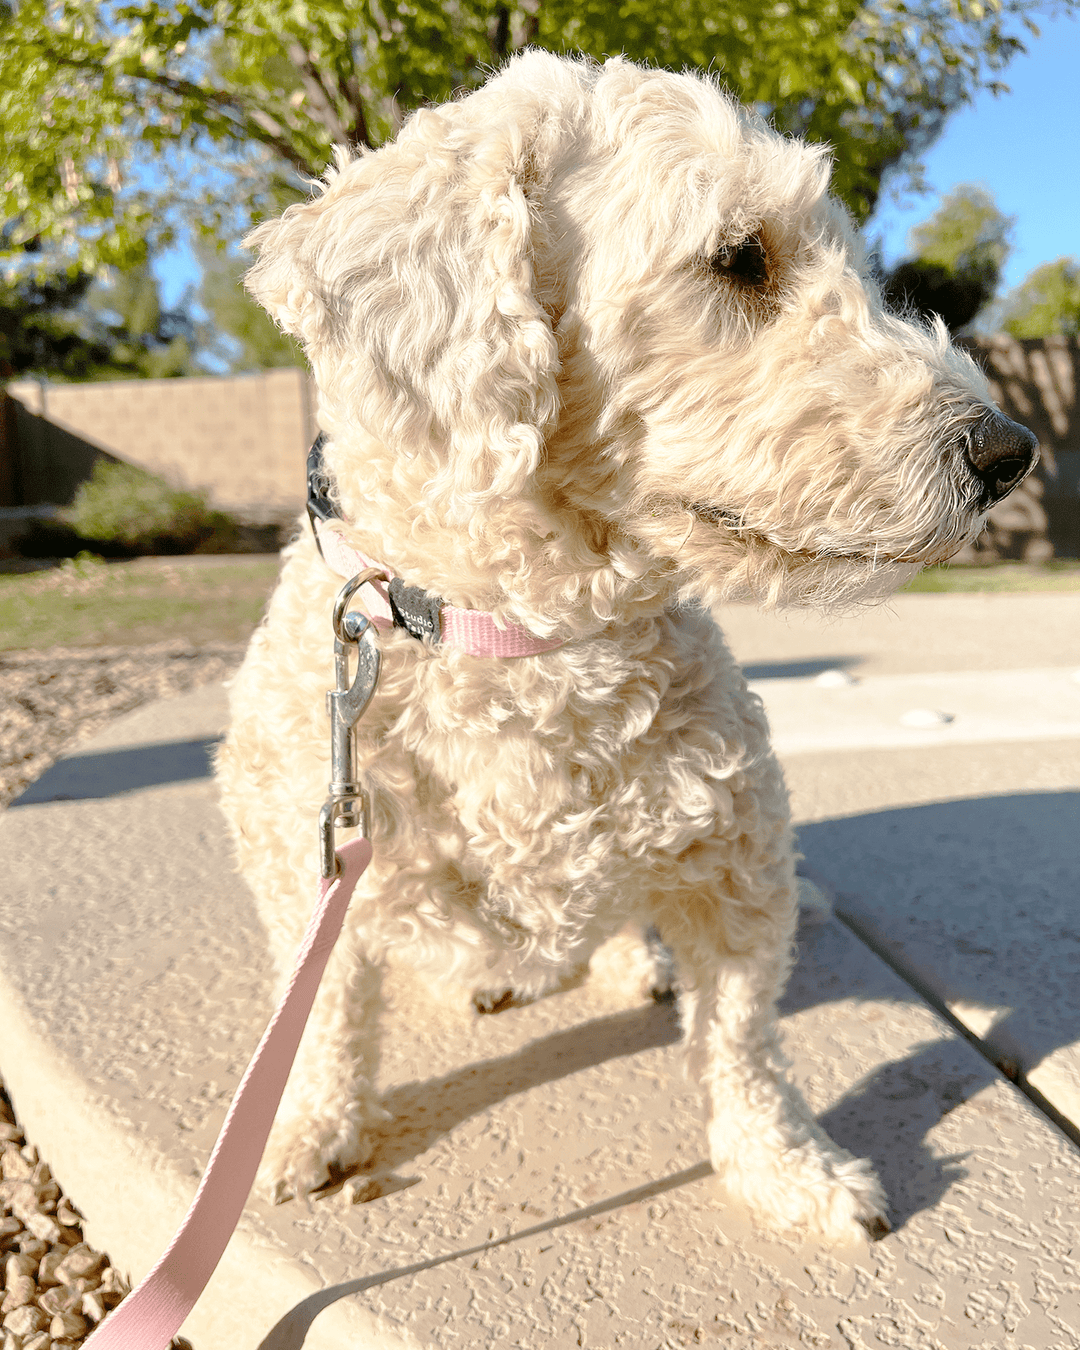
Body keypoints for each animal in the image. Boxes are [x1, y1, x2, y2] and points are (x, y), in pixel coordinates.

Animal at [214, 52, 1031, 1236]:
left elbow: (742, 1044)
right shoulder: (305, 863)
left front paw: (791, 1171)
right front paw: (307, 1131)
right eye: (739, 258)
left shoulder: (737, 861)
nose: (1010, 451)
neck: (533, 637)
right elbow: (320, 1016)